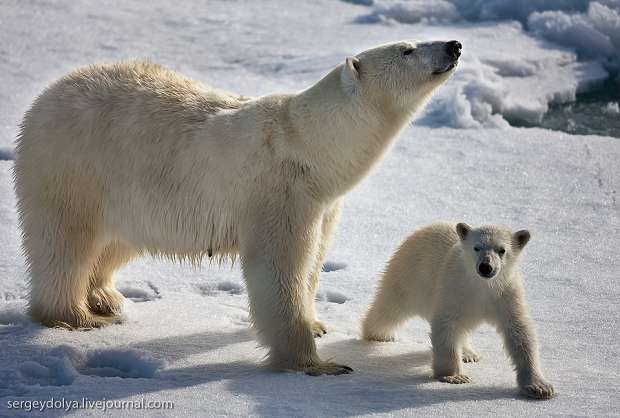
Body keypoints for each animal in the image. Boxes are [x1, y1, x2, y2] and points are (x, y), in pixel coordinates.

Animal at [13, 40, 460, 376]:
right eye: (407, 49)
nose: (454, 45)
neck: (310, 146)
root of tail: (44, 98)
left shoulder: (324, 203)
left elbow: (314, 262)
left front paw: (317, 324)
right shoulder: (279, 192)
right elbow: (278, 269)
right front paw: (317, 363)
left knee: (116, 241)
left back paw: (106, 296)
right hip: (74, 167)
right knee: (65, 243)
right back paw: (78, 316)